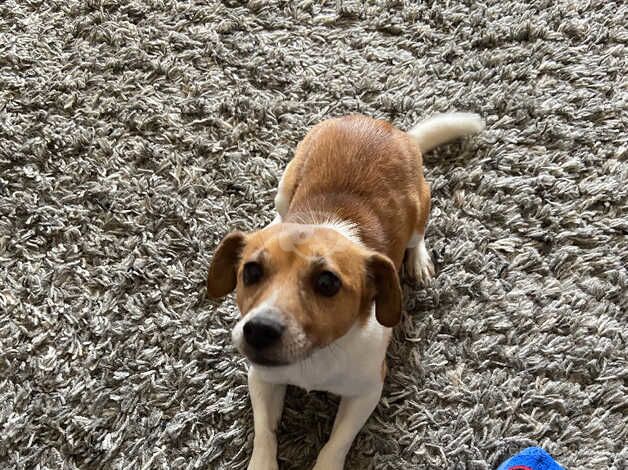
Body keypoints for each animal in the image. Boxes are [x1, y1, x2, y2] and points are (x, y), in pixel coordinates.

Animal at [209, 112, 484, 468]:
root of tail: (386, 128)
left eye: (327, 283)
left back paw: (419, 261)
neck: (317, 356)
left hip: (420, 207)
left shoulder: (366, 392)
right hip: (286, 185)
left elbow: (336, 443)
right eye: (251, 271)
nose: (259, 330)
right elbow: (265, 433)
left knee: (418, 236)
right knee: (280, 210)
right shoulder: (262, 379)